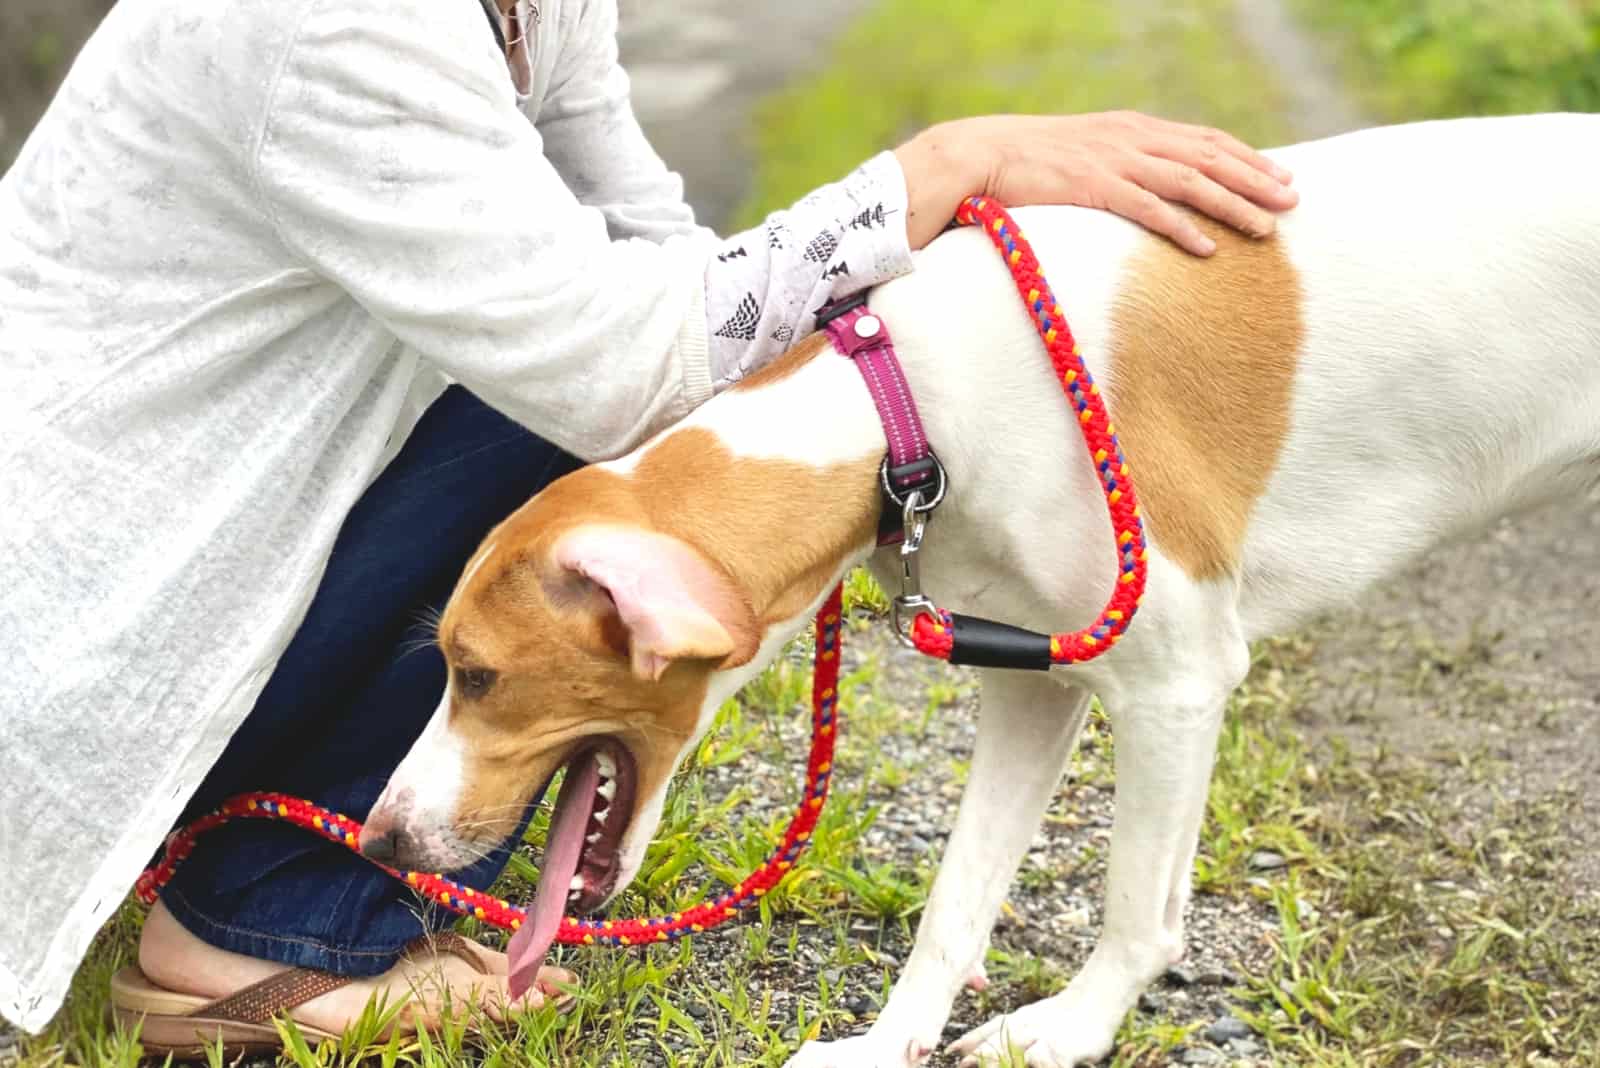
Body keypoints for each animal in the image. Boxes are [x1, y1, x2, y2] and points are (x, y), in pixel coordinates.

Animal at [356, 112, 1600, 1061]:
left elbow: (1135, 911)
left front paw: (1071, 1031)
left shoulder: (1177, 686)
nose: (380, 842)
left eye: (477, 676)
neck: (900, 401)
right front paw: (882, 1048)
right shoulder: (1033, 680)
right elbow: (957, 899)